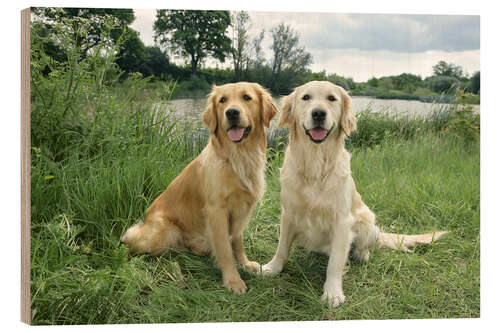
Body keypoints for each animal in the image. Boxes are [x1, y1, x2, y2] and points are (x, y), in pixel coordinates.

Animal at [262, 80, 450, 306]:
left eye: (332, 98)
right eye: (306, 97)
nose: (318, 113)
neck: (315, 166)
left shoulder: (342, 221)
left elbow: (335, 262)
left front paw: (332, 292)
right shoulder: (288, 214)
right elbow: (282, 247)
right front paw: (271, 268)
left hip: (366, 221)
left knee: (362, 246)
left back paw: (362, 255)